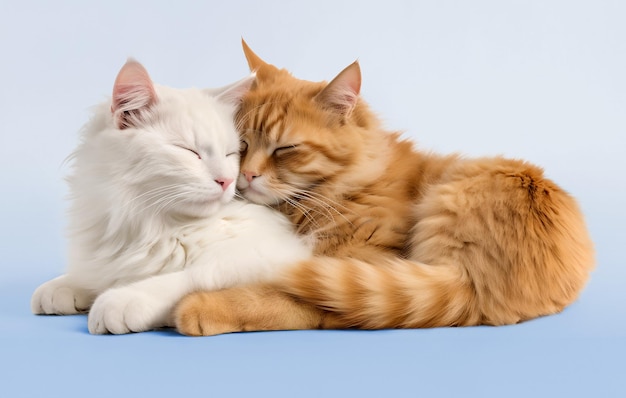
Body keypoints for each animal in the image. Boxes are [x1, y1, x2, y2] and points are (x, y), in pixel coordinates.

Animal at [30, 59, 310, 332]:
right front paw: (64, 286)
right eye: (189, 151)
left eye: (231, 153)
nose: (227, 181)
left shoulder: (273, 256)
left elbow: (191, 276)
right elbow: (95, 274)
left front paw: (123, 298)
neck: (145, 222)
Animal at [173, 40, 592, 334]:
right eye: (241, 146)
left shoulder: (360, 263)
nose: (246, 176)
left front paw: (199, 307)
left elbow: (274, 299)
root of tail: (476, 287)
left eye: (285, 149)